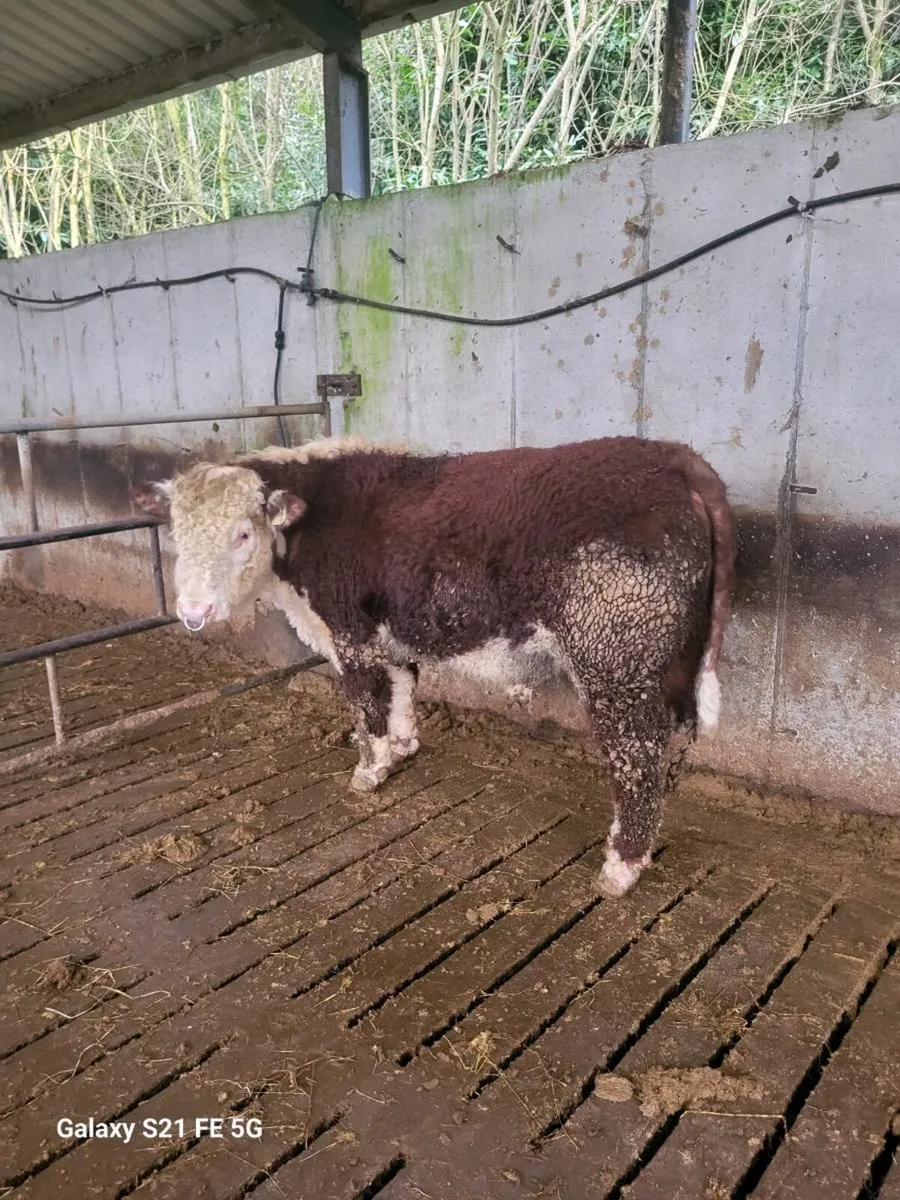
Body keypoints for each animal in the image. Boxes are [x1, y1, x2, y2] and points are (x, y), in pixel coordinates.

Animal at [132, 435, 734, 897]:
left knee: (638, 755)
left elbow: (367, 703)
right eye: (176, 534)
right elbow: (401, 689)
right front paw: (402, 748)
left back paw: (620, 868)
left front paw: (369, 771)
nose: (192, 612)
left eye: (242, 533)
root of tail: (674, 456)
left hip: (615, 658)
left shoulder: (350, 635)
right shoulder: (392, 634)